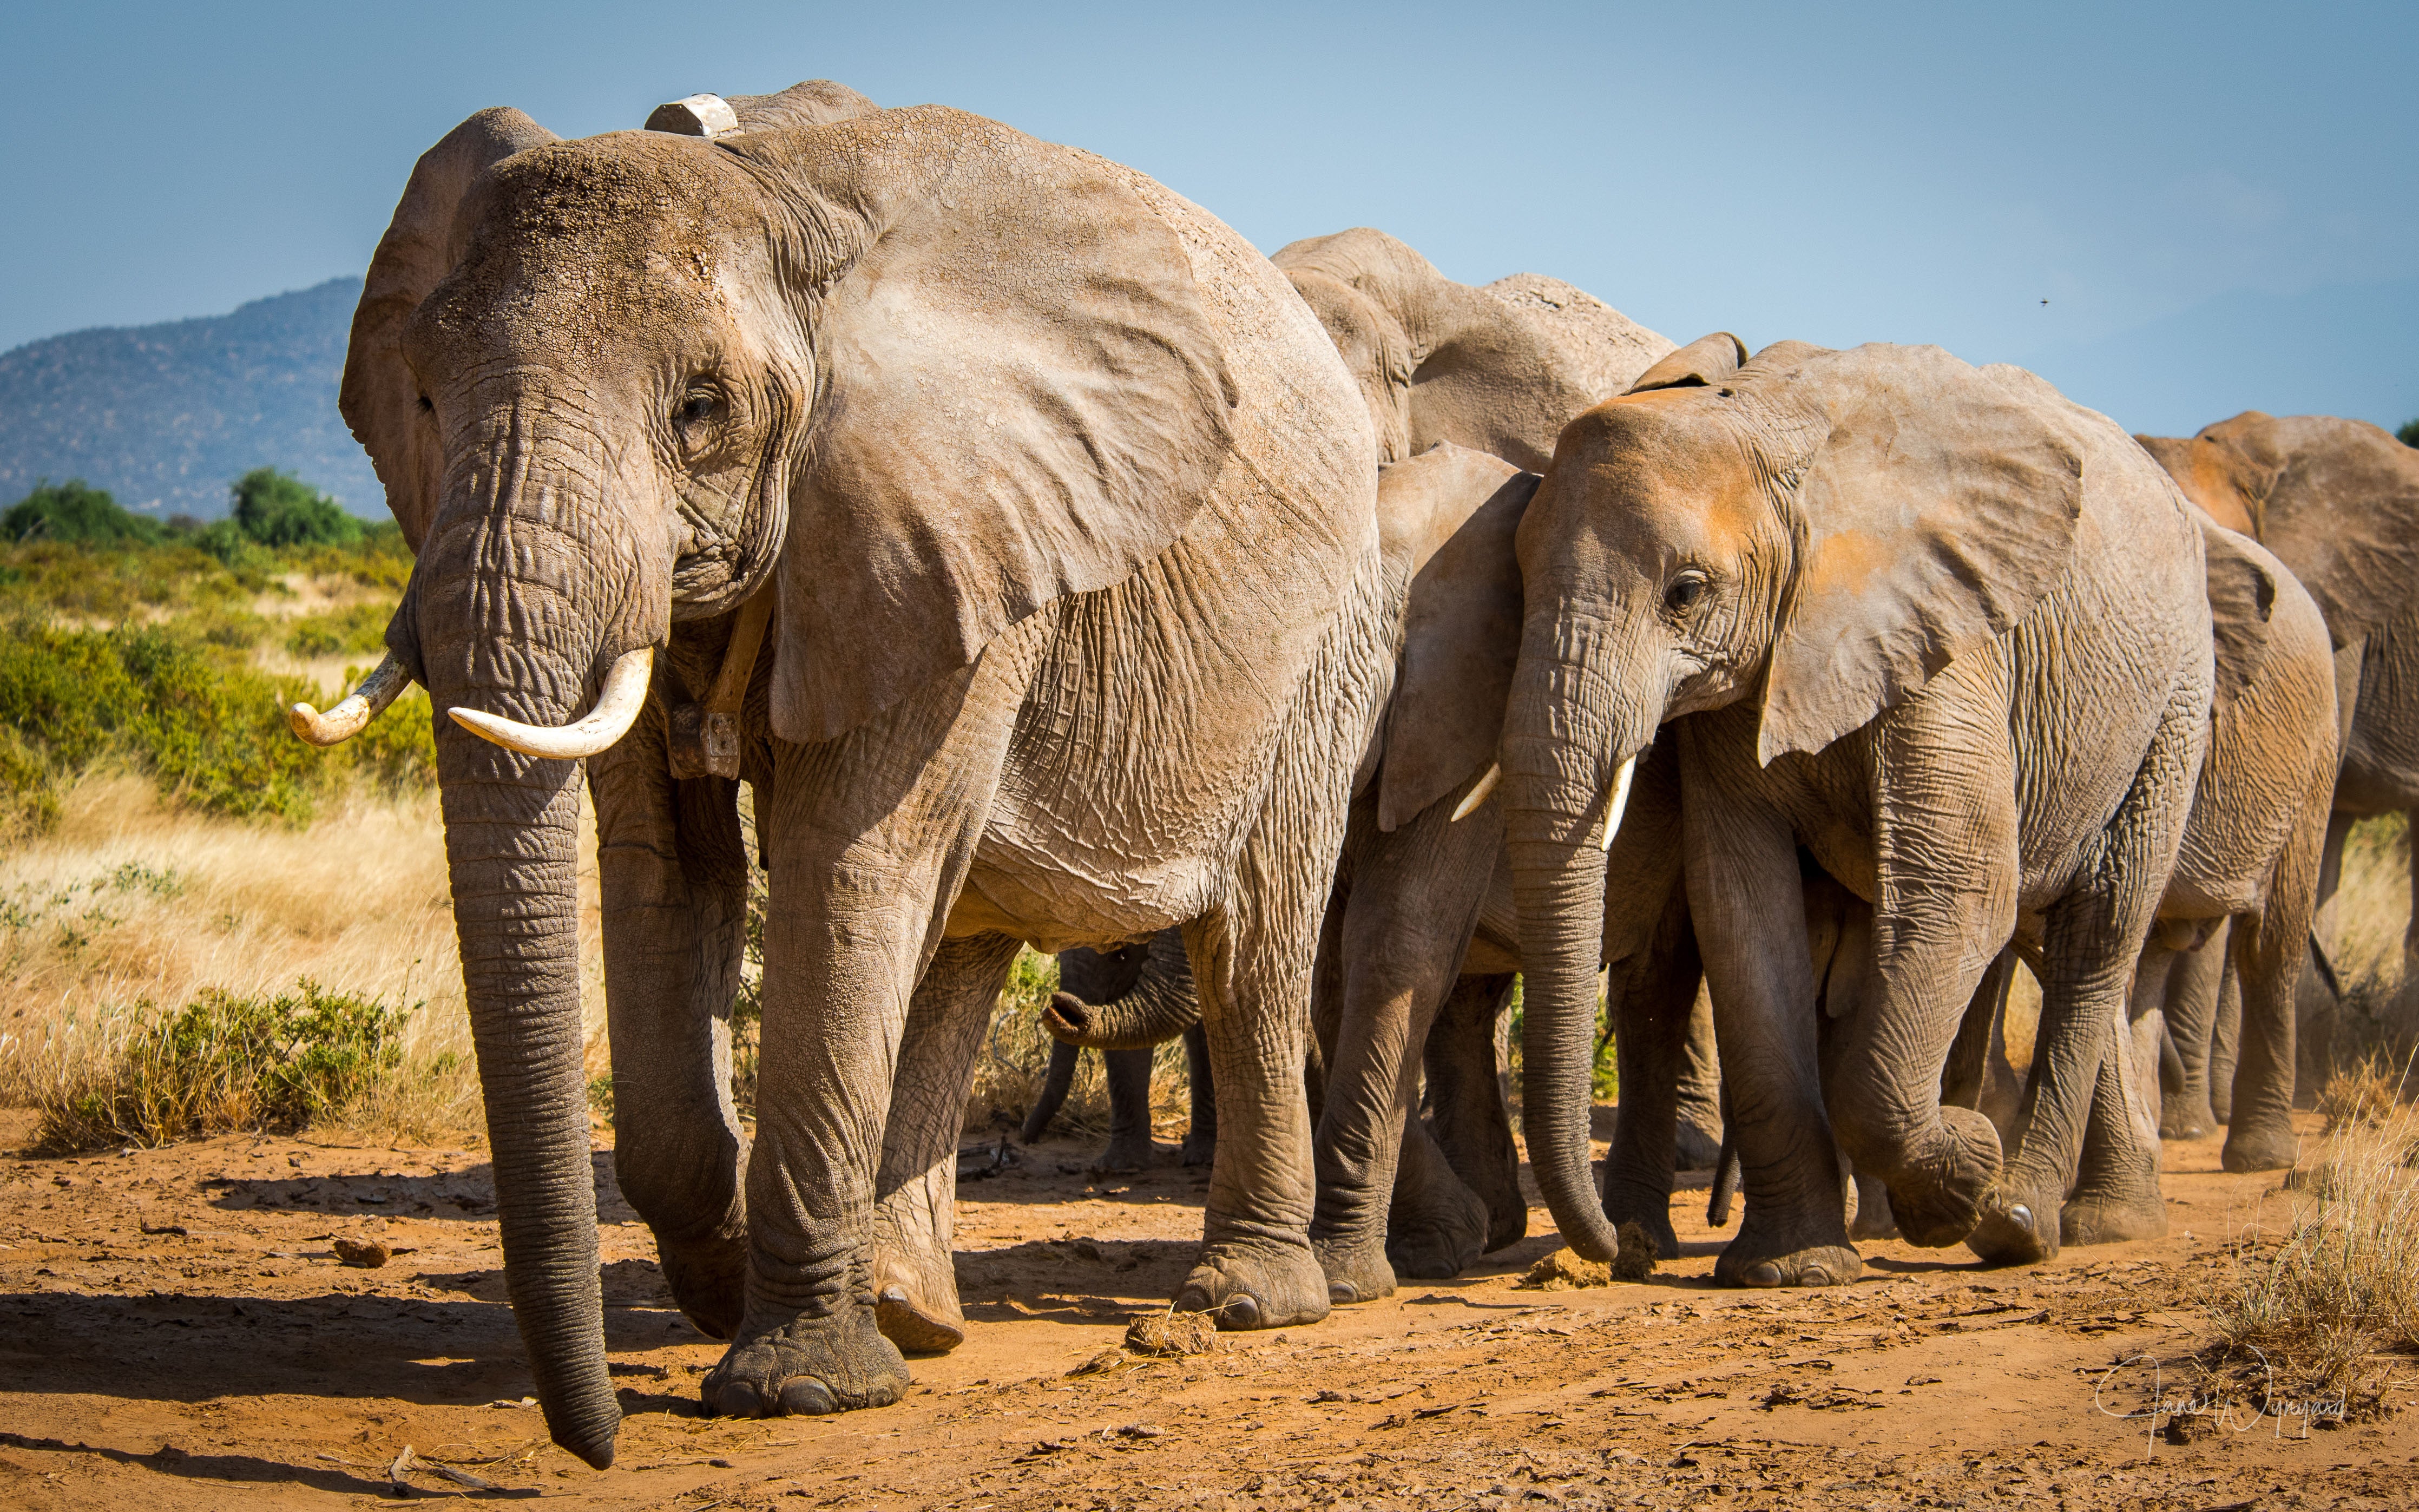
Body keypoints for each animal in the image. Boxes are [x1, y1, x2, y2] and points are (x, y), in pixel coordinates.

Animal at [287, 85, 1403, 1461]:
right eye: (427, 403)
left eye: (700, 408)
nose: (594, 1441)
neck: (773, 196)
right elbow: (666, 869)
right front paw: (722, 1281)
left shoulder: (953, 520)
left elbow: (844, 862)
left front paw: (797, 1387)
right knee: (964, 936)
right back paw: (912, 1310)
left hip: (1328, 643)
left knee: (1251, 938)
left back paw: (1245, 1301)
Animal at [1500, 336, 2216, 1277]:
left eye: (1685, 592)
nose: (1625, 1253)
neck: (1763, 424)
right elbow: (1740, 907)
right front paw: (1788, 1269)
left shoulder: (1948, 636)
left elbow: (1962, 882)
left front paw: (1962, 1171)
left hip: (2174, 697)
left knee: (2096, 930)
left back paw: (2018, 1221)